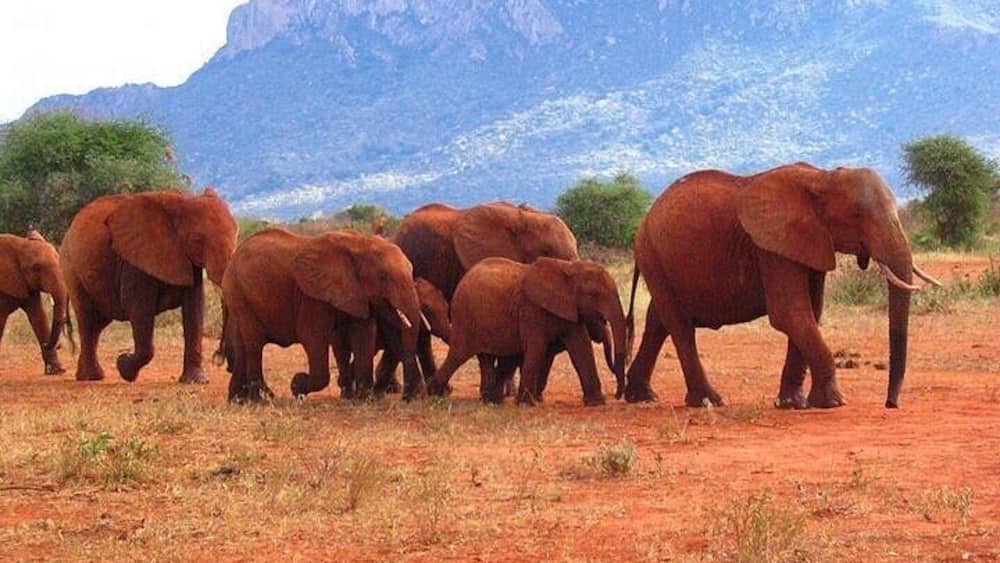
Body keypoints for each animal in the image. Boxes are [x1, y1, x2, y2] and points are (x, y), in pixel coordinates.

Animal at [0, 229, 70, 374]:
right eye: (37, 267)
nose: (58, 345)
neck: (20, 245)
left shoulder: (26, 283)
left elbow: (38, 316)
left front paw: (57, 370)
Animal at [60, 189, 238, 384]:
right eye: (197, 240)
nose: (220, 358)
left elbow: (195, 308)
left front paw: (195, 381)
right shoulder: (136, 261)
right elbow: (139, 309)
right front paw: (123, 366)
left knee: (98, 324)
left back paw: (88, 375)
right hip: (71, 268)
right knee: (87, 319)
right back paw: (91, 377)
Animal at [220, 228, 423, 402]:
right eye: (382, 276)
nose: (409, 397)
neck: (359, 243)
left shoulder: (357, 293)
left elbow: (364, 335)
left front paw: (365, 399)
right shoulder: (311, 297)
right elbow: (311, 336)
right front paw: (297, 385)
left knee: (243, 345)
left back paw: (238, 400)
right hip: (239, 293)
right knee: (254, 343)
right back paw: (260, 400)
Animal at [427, 257, 628, 407]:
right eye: (594, 295)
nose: (618, 395)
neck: (567, 268)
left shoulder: (569, 308)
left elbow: (582, 347)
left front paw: (596, 402)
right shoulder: (530, 309)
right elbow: (537, 347)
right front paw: (526, 403)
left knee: (486, 358)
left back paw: (490, 400)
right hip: (465, 317)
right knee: (458, 354)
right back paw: (435, 394)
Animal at [623, 163, 941, 410]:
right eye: (857, 216)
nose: (891, 404)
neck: (822, 178)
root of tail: (647, 216)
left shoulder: (810, 243)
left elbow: (811, 312)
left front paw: (793, 404)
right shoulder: (771, 247)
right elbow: (790, 314)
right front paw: (833, 403)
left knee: (658, 321)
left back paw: (641, 396)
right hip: (652, 254)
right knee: (679, 326)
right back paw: (708, 401)